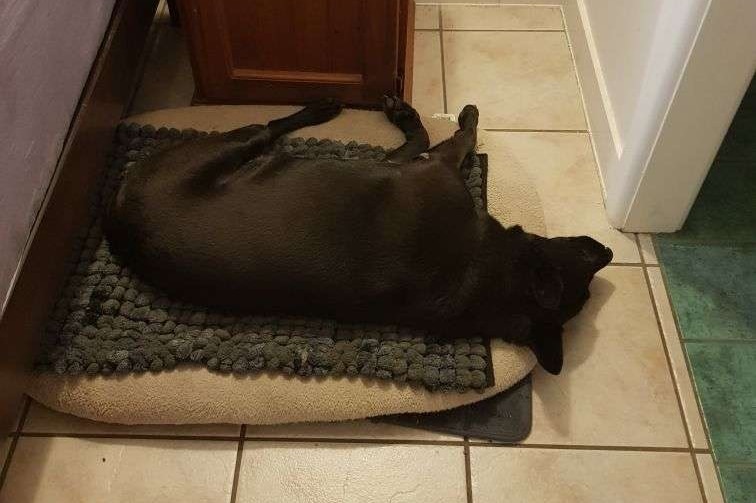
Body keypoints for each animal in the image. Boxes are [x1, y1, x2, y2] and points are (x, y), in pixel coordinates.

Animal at [105, 98, 616, 374]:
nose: (608, 248)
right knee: (269, 129)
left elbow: (452, 137)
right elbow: (448, 138)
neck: (486, 271)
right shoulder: (429, 165)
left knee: (268, 128)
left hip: (230, 143)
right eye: (585, 255)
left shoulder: (429, 164)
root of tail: (120, 219)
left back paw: (321, 108)